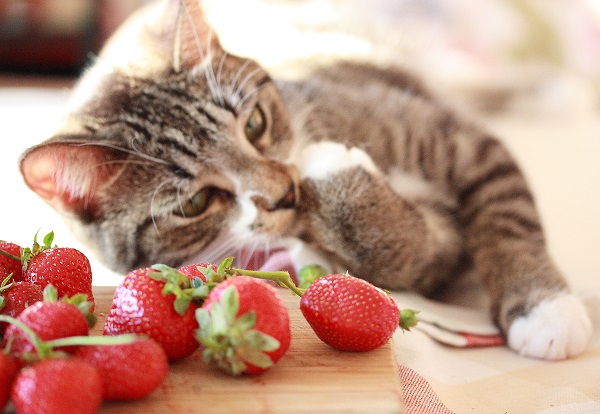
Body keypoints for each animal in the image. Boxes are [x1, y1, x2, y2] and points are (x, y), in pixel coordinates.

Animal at [17, 0, 592, 360]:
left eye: (254, 124)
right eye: (194, 204)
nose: (285, 191)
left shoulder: (458, 138)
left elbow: (506, 220)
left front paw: (546, 310)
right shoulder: (432, 254)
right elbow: (403, 253)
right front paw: (337, 185)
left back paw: (550, 91)